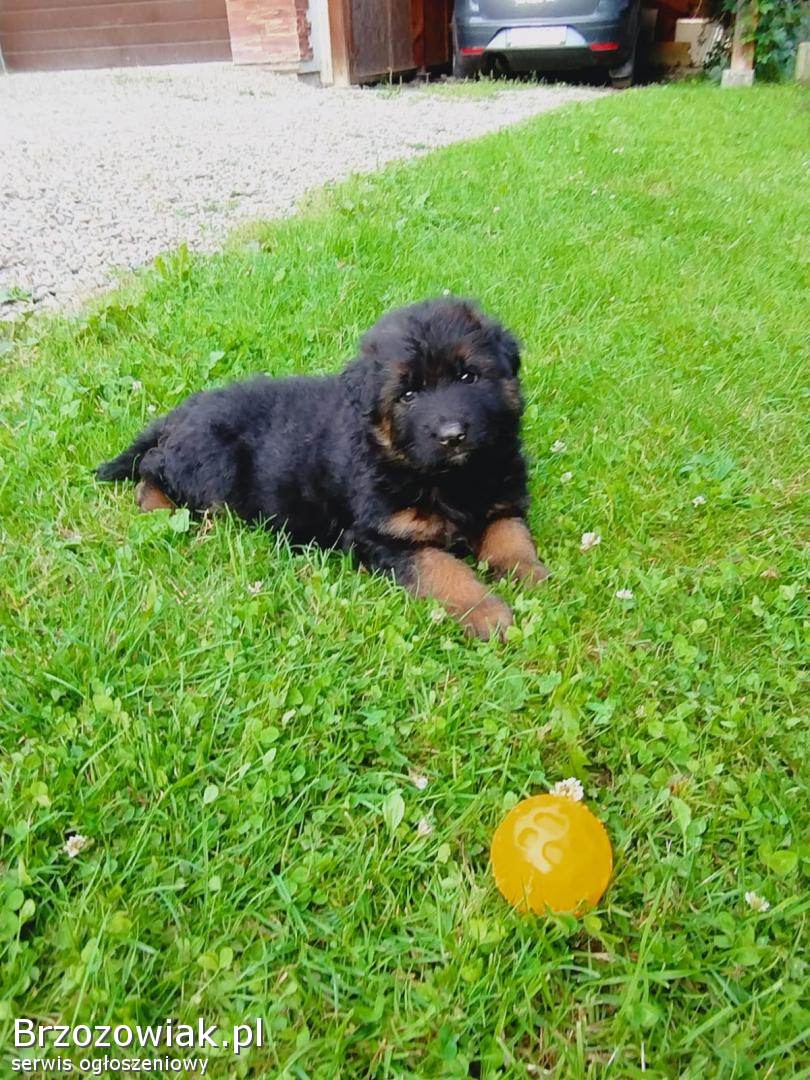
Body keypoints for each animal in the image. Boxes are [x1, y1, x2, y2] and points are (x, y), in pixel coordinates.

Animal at [97, 298, 549, 639]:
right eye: (407, 395)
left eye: (468, 376)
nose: (452, 435)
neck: (448, 478)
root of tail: (181, 411)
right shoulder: (381, 537)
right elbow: (444, 569)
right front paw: (486, 611)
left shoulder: (503, 500)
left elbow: (510, 539)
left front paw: (531, 575)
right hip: (212, 468)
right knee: (153, 466)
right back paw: (158, 509)